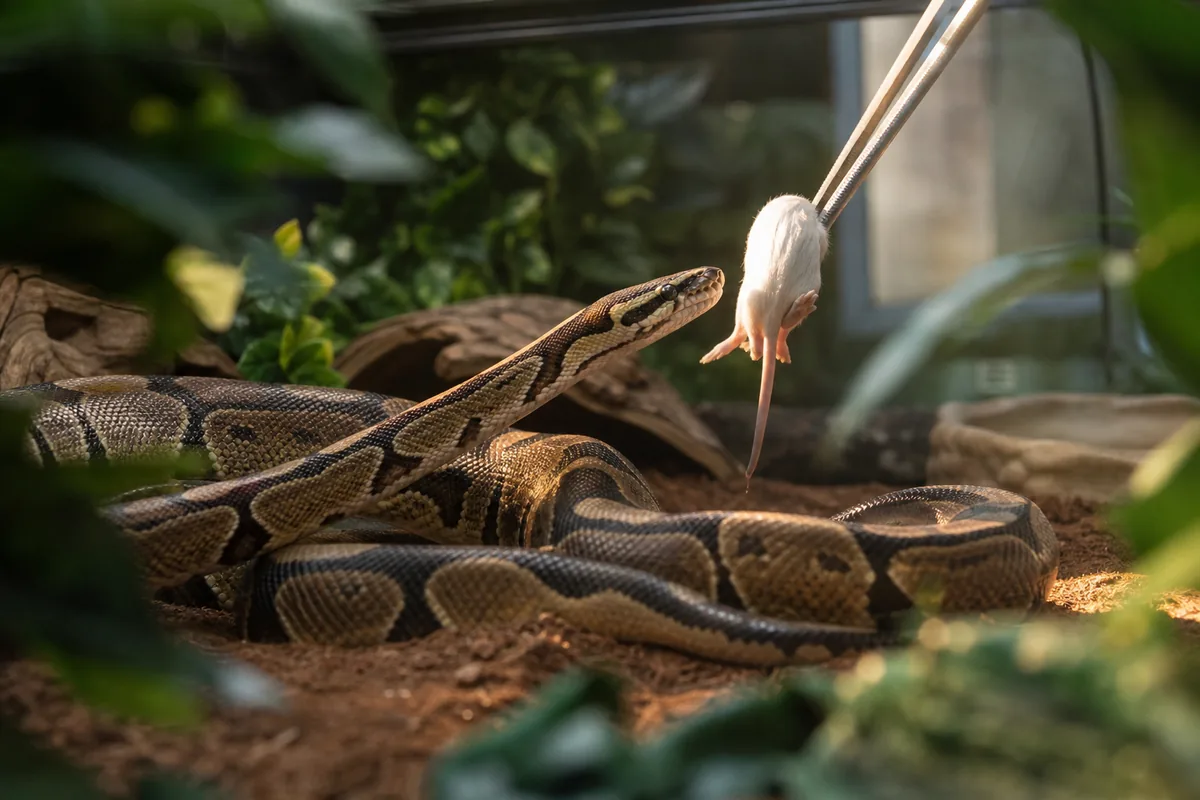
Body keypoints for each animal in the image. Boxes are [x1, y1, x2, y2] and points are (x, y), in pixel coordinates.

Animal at [700, 194, 828, 486]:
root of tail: (774, 302)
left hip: (743, 296)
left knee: (747, 334)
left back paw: (741, 348)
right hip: (791, 291)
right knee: (783, 327)